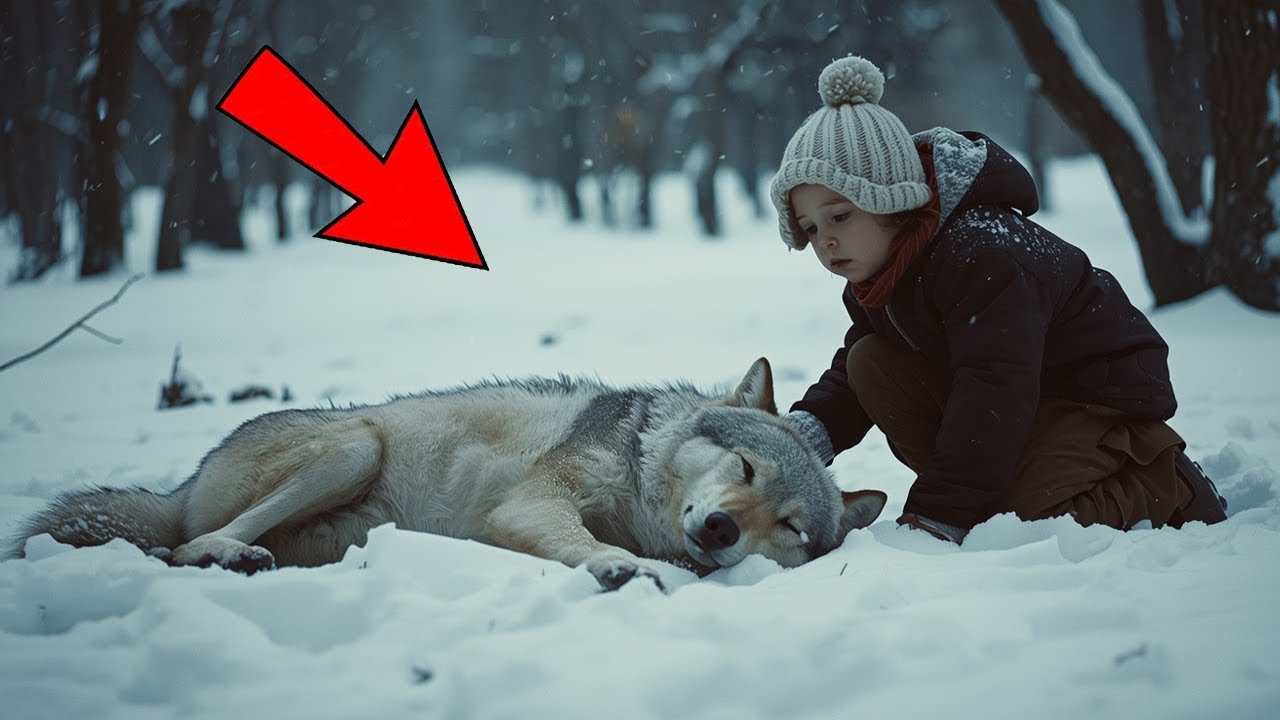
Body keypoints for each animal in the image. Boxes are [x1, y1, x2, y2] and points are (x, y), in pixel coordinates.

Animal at [6, 358, 886, 591]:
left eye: (792, 527)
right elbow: (582, 541)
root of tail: (180, 487)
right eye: (744, 465)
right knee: (187, 546)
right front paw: (621, 567)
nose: (724, 527)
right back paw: (226, 554)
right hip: (355, 447)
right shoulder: (531, 506)